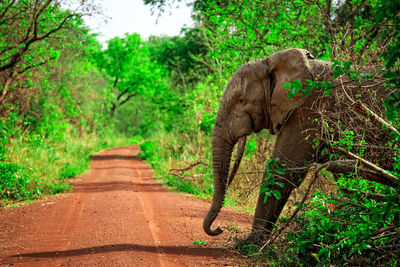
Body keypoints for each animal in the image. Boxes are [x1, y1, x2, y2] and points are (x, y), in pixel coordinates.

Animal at [203, 48, 388, 249]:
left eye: (241, 100)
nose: (218, 228)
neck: (272, 62)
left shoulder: (309, 109)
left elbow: (282, 167)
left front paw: (247, 244)